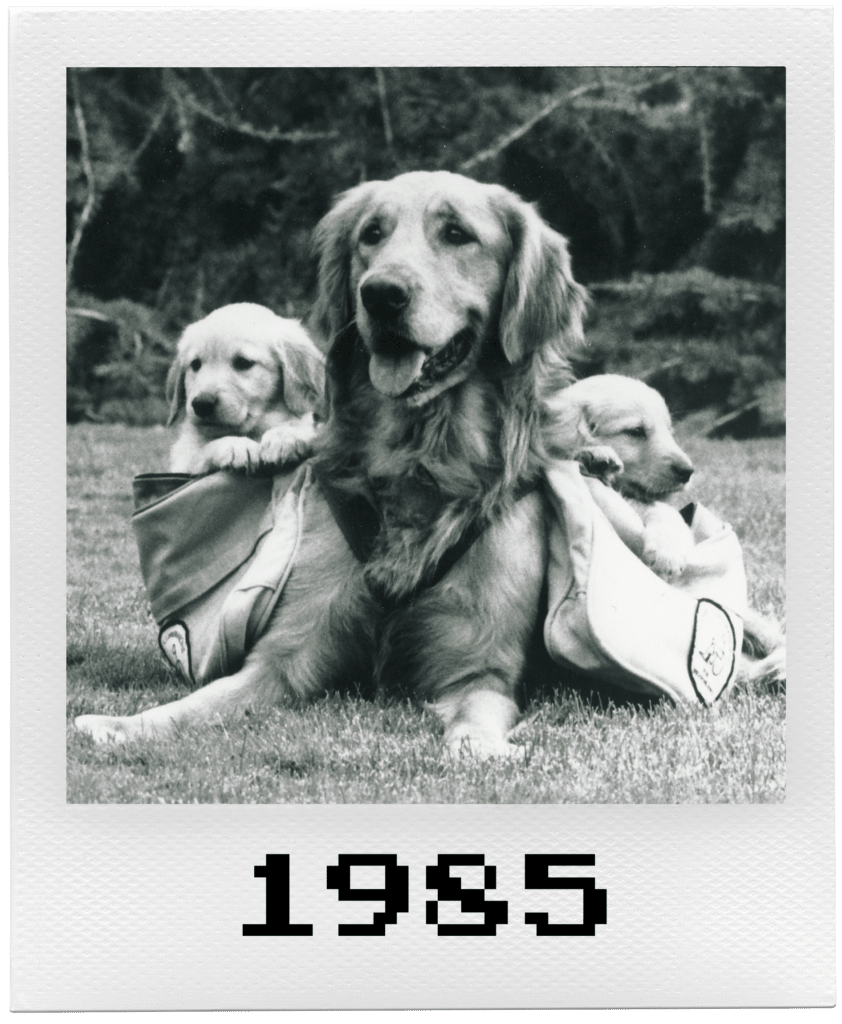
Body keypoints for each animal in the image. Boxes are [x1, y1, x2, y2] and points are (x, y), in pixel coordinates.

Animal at [166, 303, 325, 475]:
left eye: (243, 363)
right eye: (195, 365)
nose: (202, 404)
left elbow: (308, 432)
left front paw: (284, 437)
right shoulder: (184, 461)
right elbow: (204, 449)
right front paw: (237, 445)